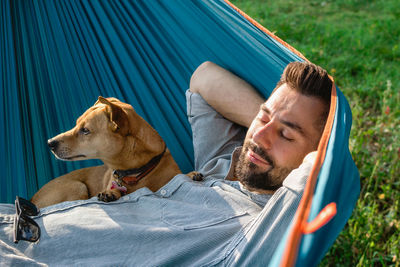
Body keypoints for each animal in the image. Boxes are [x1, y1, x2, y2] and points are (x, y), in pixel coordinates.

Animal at [30, 97, 186, 209]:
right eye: (76, 124)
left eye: (85, 130)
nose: (49, 142)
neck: (134, 173)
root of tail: (31, 199)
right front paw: (111, 193)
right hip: (77, 186)